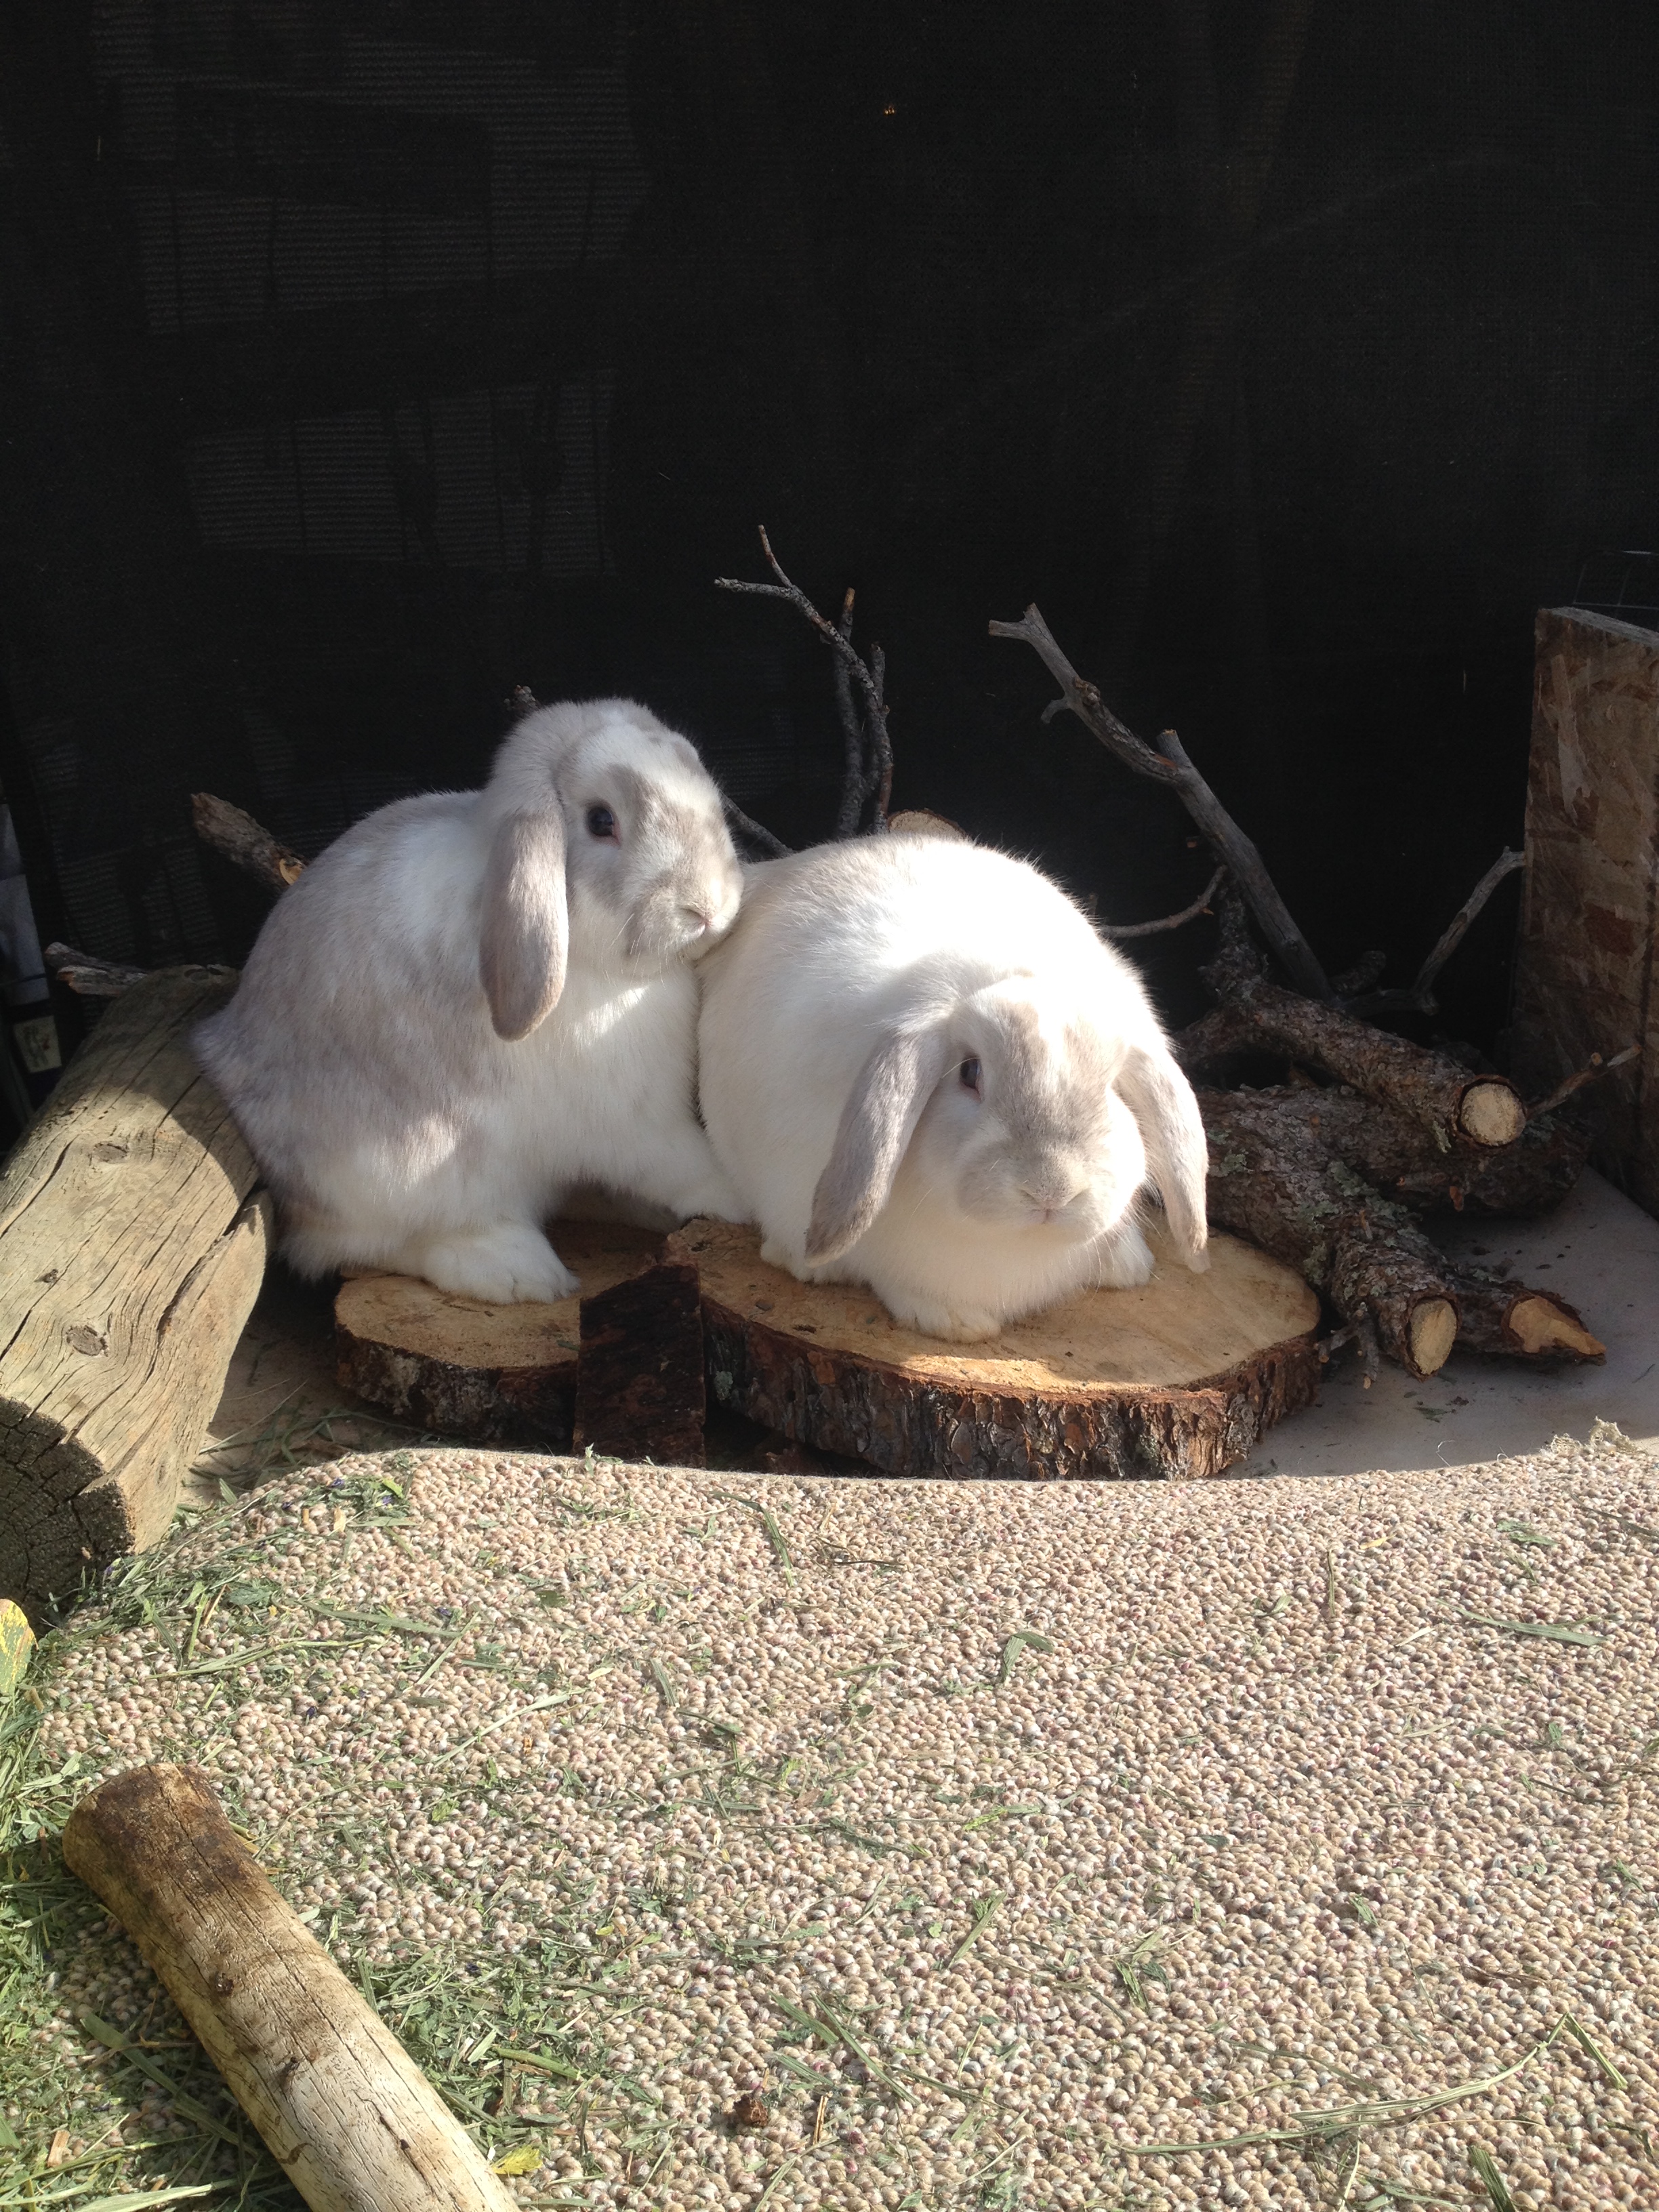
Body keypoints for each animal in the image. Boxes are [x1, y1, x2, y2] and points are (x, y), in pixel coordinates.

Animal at [194, 699, 747, 1300]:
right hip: (401, 1173)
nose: (707, 906)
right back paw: (517, 1271)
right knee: (373, 1246)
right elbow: (686, 1165)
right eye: (602, 821)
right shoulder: (636, 1122)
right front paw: (741, 1200)